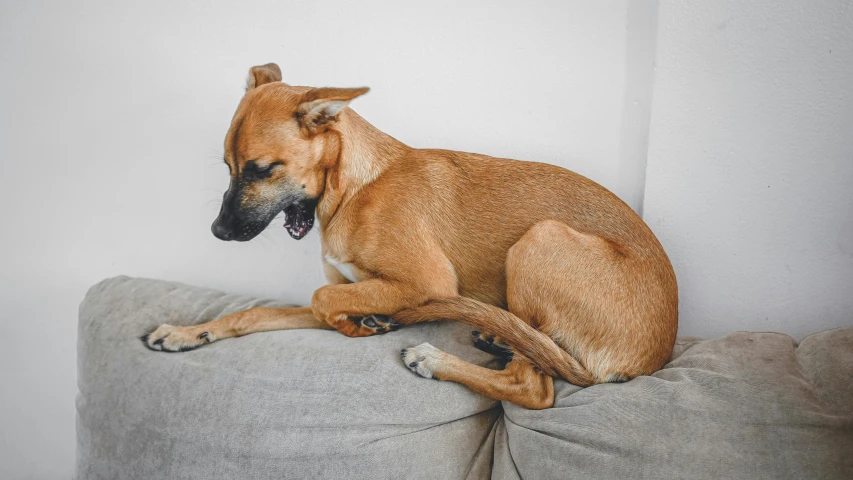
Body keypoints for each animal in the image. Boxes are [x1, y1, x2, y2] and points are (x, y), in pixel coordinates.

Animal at [143, 62, 676, 408]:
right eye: (228, 167)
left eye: (262, 169)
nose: (218, 231)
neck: (353, 190)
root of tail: (652, 357)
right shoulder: (351, 287)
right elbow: (257, 313)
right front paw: (187, 332)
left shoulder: (425, 283)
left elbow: (320, 298)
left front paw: (366, 325)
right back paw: (497, 338)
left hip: (539, 239)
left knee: (535, 388)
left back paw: (434, 359)